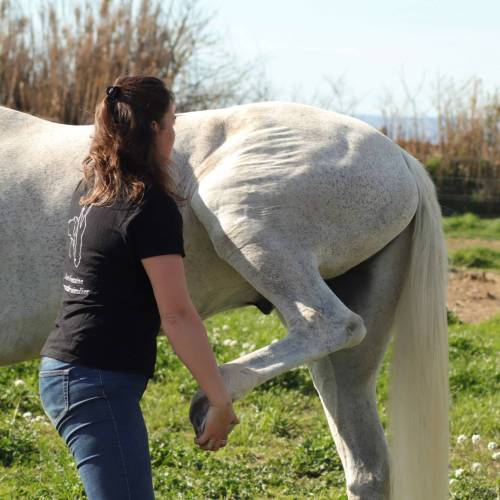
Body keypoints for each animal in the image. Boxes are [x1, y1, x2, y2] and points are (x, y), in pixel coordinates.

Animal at [0, 102, 450, 500]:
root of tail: (402, 159)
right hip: (348, 365)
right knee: (367, 468)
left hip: (243, 219)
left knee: (331, 322)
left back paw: (212, 399)